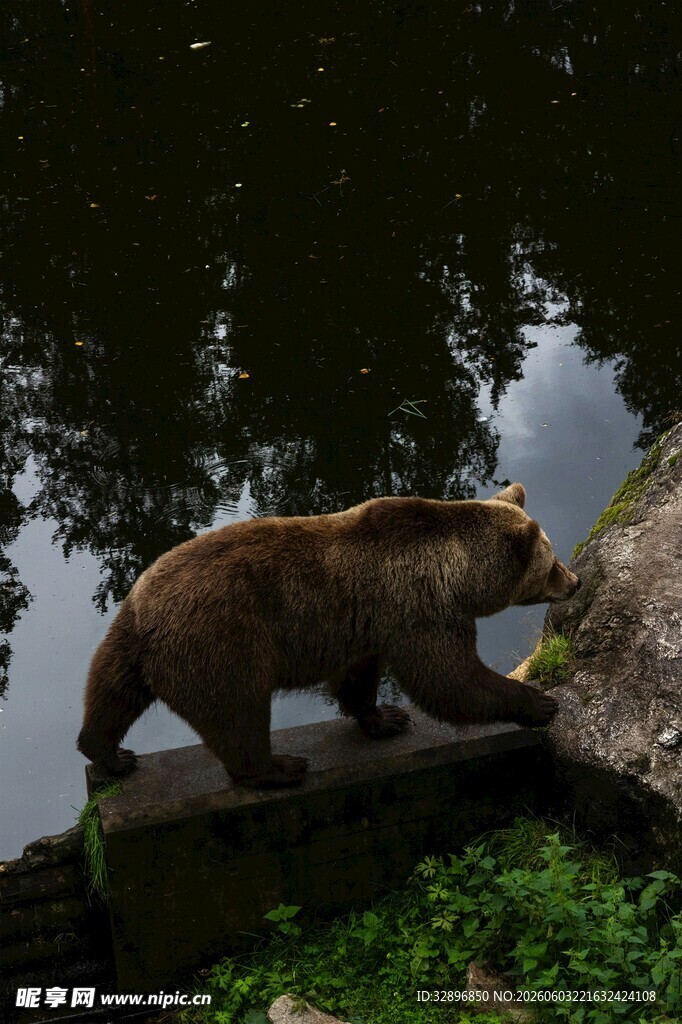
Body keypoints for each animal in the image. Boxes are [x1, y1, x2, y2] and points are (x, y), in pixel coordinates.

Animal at [77, 483, 579, 788]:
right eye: (550, 563)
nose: (574, 581)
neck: (455, 574)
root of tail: (148, 615)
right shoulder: (421, 610)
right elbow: (449, 680)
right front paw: (539, 702)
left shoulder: (370, 626)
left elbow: (358, 680)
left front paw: (386, 718)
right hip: (221, 645)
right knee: (237, 714)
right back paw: (278, 767)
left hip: (127, 634)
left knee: (111, 694)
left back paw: (110, 754)